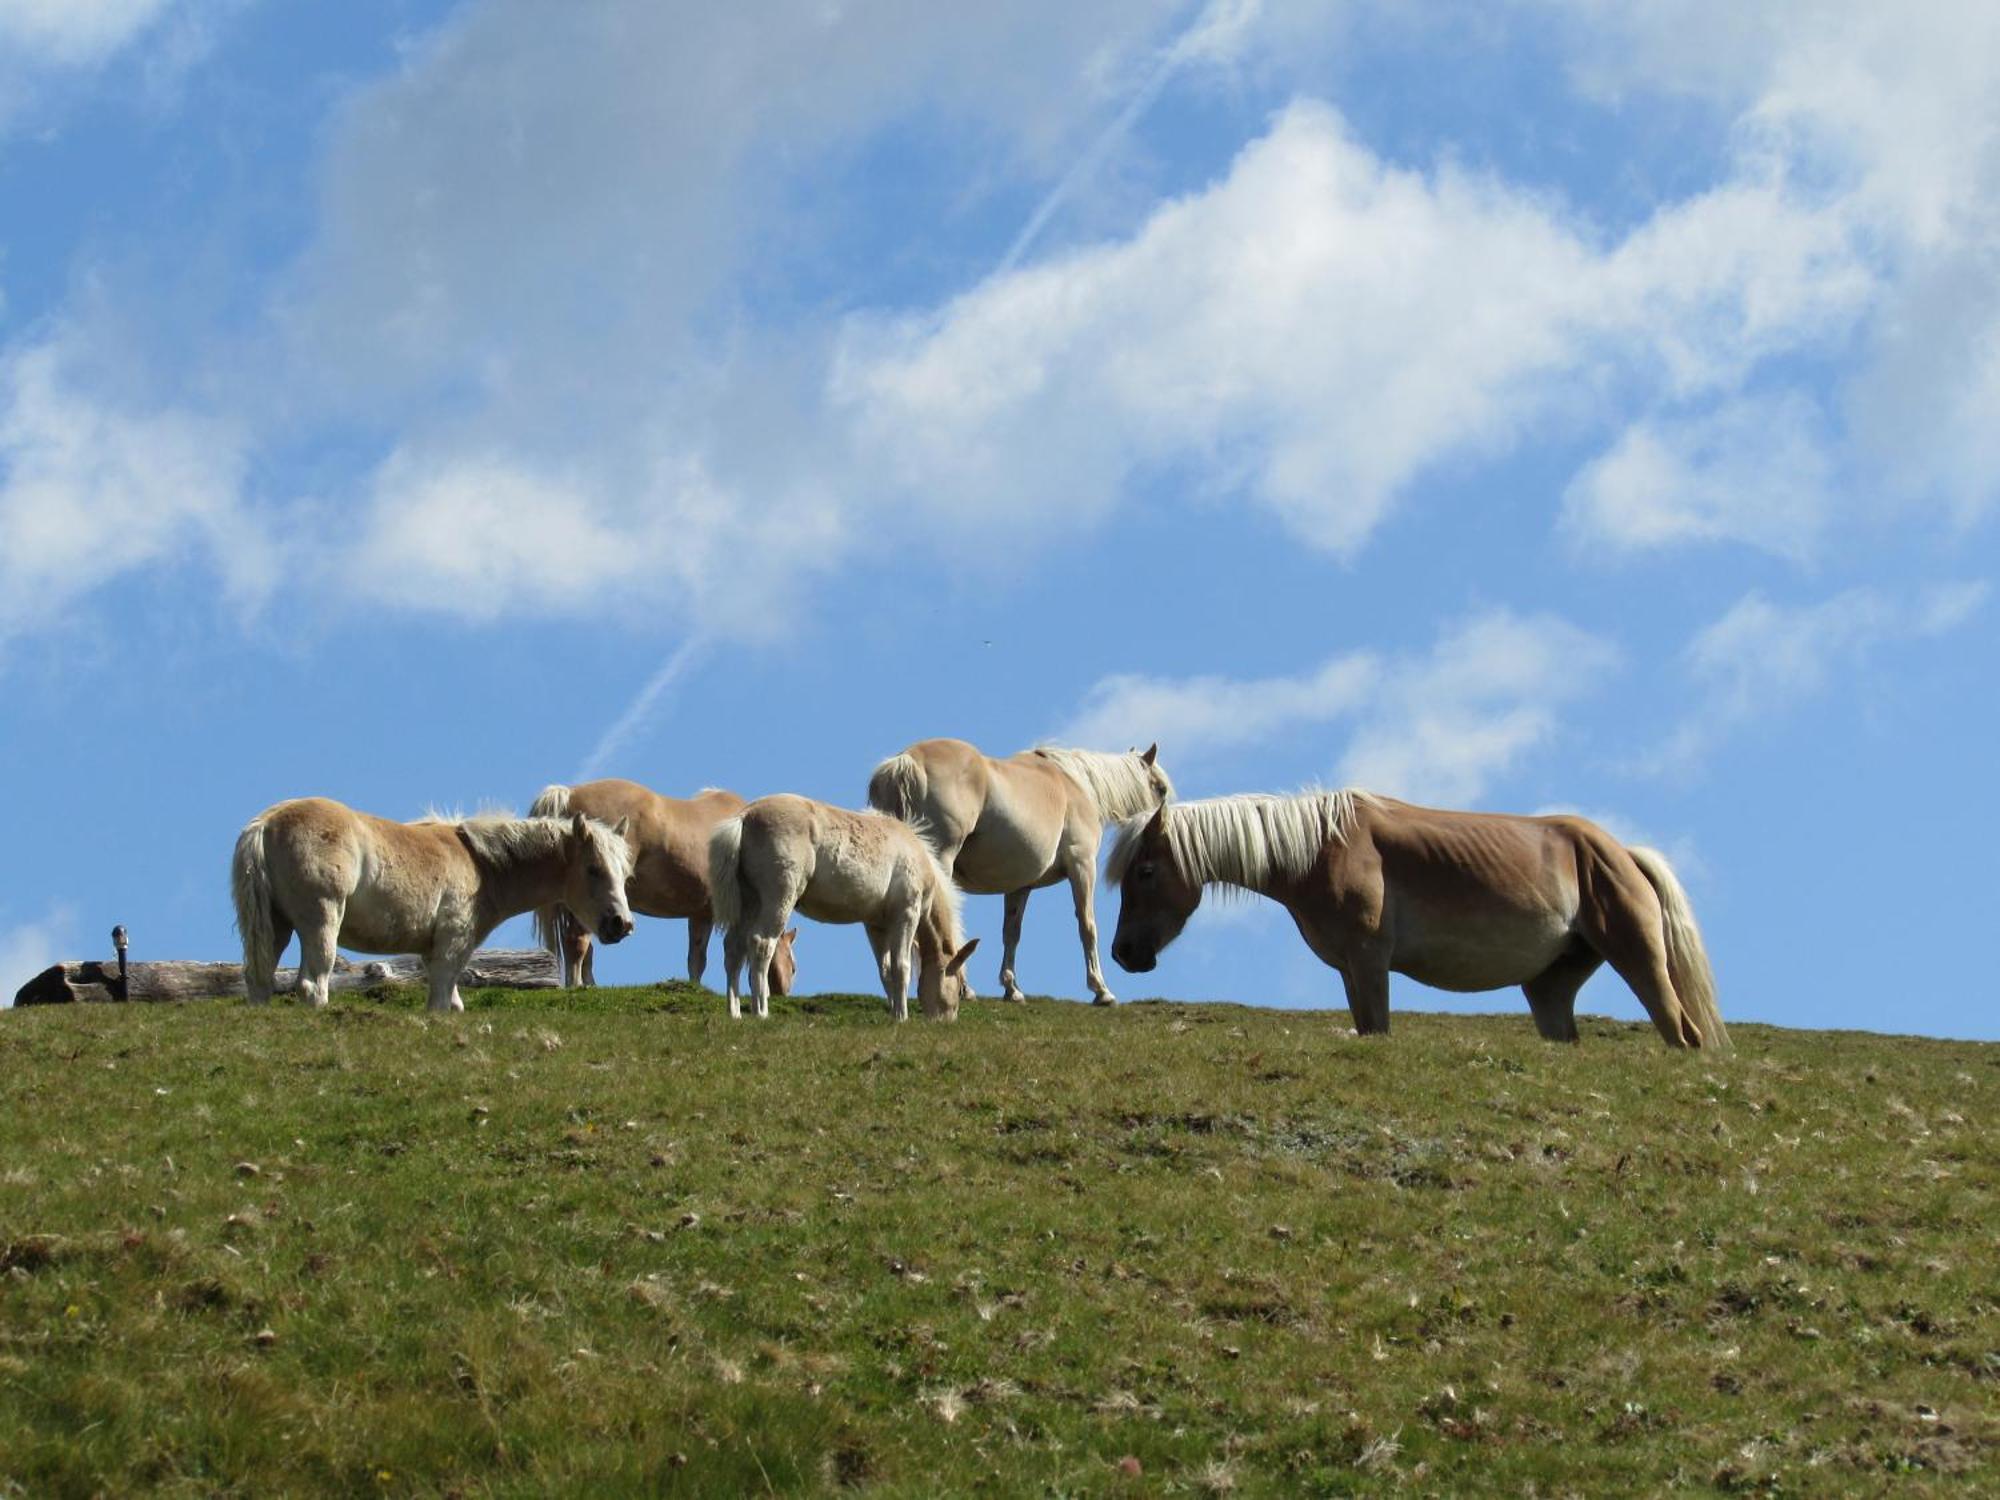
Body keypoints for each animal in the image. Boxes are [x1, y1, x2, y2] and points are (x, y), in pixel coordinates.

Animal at [234, 792, 640, 1016]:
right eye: (593, 869)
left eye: (625, 873)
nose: (621, 923)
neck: (480, 863)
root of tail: (264, 824)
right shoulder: (450, 947)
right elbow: (441, 1004)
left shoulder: (434, 954)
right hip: (321, 922)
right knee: (312, 984)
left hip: (277, 926)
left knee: (259, 979)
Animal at [532, 780, 796, 1004]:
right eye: (793, 967)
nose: (783, 994)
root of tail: (569, 793)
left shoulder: (700, 913)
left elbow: (695, 959)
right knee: (577, 943)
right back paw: (576, 986)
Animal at [708, 792, 980, 1032]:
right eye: (958, 988)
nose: (946, 1022)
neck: (917, 855)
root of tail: (745, 817)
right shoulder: (907, 915)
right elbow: (901, 967)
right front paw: (902, 1017)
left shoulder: (876, 926)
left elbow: (886, 970)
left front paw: (894, 1014)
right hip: (778, 900)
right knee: (762, 944)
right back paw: (761, 1011)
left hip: (749, 904)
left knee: (734, 949)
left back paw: (735, 1012)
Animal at [864, 744, 1168, 1004]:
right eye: (1162, 789)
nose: (1161, 830)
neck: (1077, 786)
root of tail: (905, 762)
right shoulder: (1081, 864)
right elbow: (1087, 926)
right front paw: (1101, 989)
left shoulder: (1019, 886)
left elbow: (1011, 932)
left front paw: (1011, 987)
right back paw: (962, 988)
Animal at [1104, 792, 1728, 1048]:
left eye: (1146, 872)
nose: (1124, 953)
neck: (1325, 847)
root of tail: (1621, 852)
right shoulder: (1349, 970)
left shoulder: (1370, 960)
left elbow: (1380, 1027)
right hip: (1550, 988)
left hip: (1640, 960)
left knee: (1682, 1034)